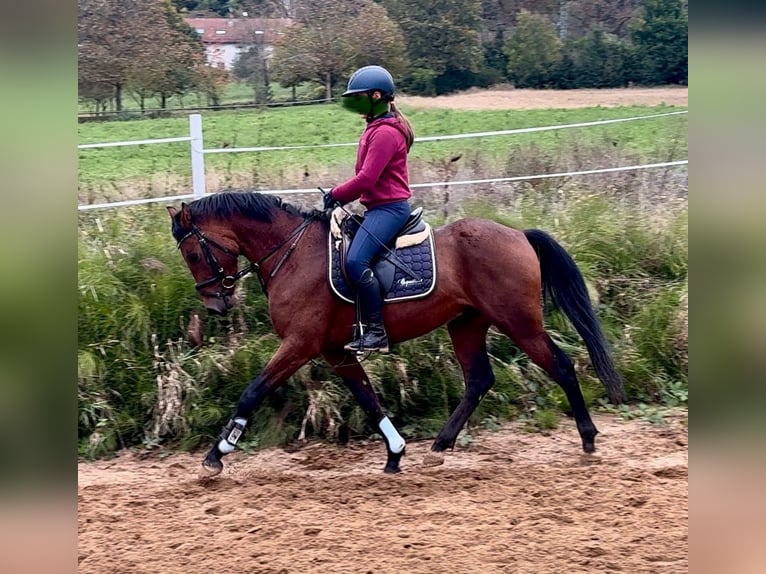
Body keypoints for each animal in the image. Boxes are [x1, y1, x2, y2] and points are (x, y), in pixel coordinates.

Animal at [168, 191, 624, 480]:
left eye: (192, 253)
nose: (215, 304)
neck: (292, 252)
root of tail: (518, 234)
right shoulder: (334, 351)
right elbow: (368, 400)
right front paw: (394, 453)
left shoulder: (300, 345)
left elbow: (252, 392)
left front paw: (216, 456)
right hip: (467, 324)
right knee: (479, 379)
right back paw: (440, 446)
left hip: (520, 323)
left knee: (561, 366)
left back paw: (587, 439)